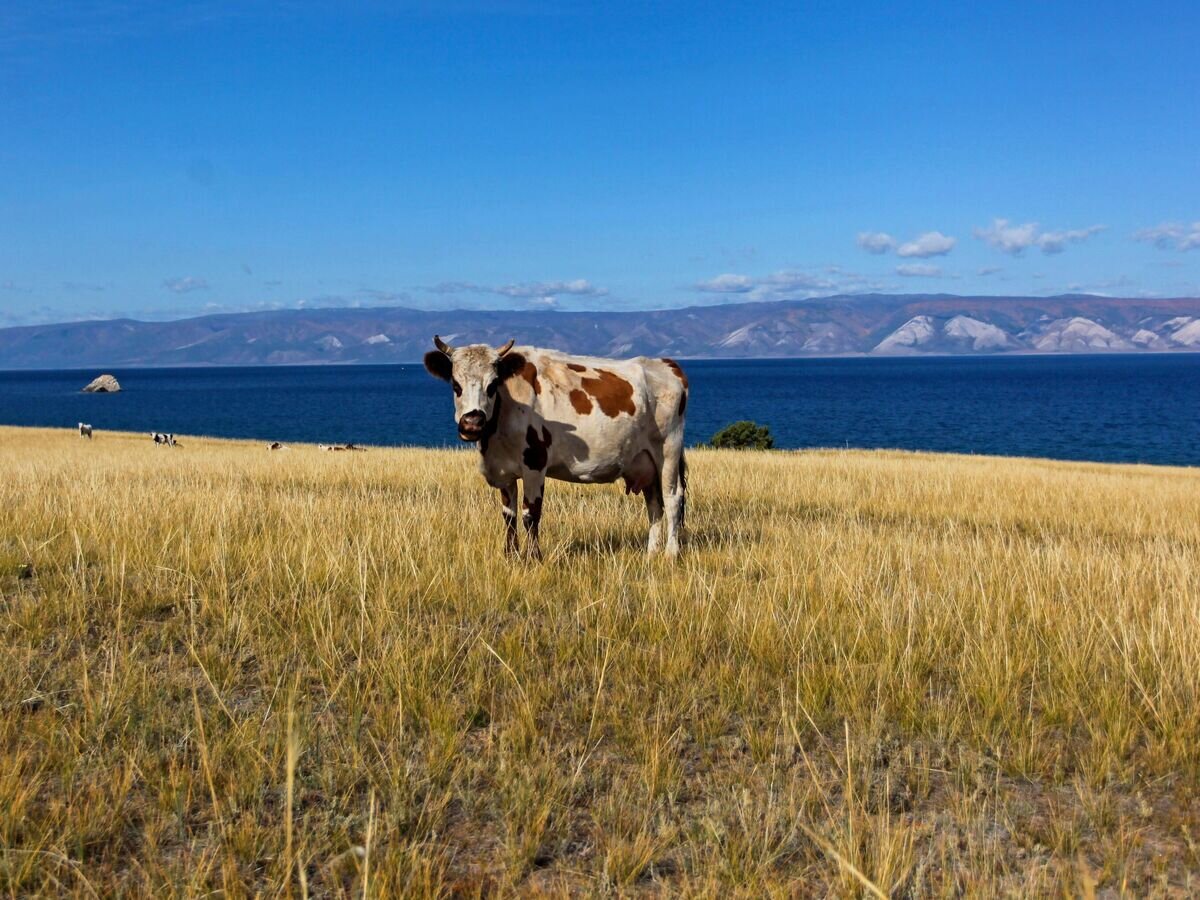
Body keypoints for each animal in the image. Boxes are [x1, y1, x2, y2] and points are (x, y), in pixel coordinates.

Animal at [424, 338, 691, 561]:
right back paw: (651, 553)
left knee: (672, 499)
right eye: (455, 385)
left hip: (668, 450)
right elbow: (509, 515)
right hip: (645, 462)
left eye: (492, 385)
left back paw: (670, 553)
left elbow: (530, 514)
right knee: (654, 504)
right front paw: (510, 556)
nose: (472, 422)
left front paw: (534, 558)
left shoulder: (535, 464)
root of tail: (666, 364)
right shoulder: (504, 471)